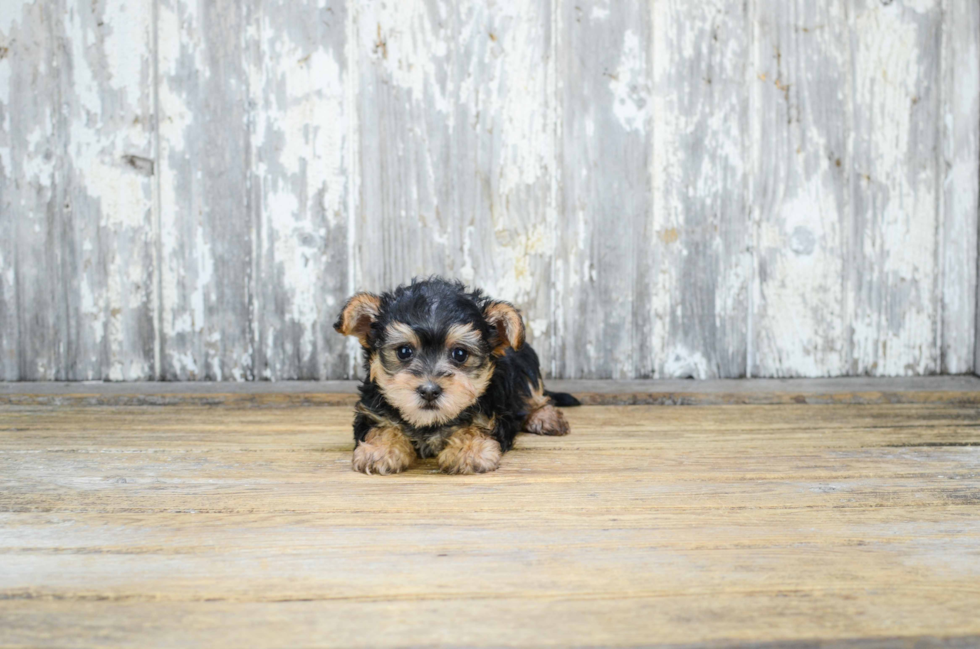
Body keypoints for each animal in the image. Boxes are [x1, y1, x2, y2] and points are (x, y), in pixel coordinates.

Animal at [336, 276, 580, 474]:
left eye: (460, 354)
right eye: (404, 351)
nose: (429, 391)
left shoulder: (495, 413)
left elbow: (475, 426)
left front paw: (469, 450)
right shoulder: (371, 410)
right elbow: (382, 427)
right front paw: (380, 449)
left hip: (525, 362)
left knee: (535, 395)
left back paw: (546, 418)